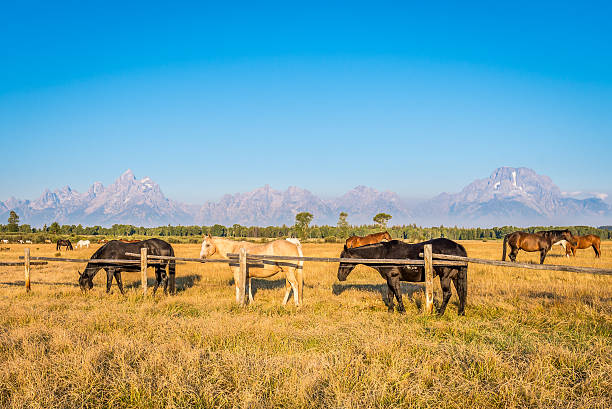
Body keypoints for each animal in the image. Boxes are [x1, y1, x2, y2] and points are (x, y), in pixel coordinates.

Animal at [338, 237, 466, 314]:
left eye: (343, 258)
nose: (340, 277)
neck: (383, 254)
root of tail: (457, 246)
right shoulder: (390, 279)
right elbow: (390, 295)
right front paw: (390, 311)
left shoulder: (393, 278)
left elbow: (398, 295)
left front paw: (402, 311)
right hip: (455, 277)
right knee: (461, 292)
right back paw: (461, 312)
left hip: (445, 277)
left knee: (447, 294)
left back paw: (440, 313)